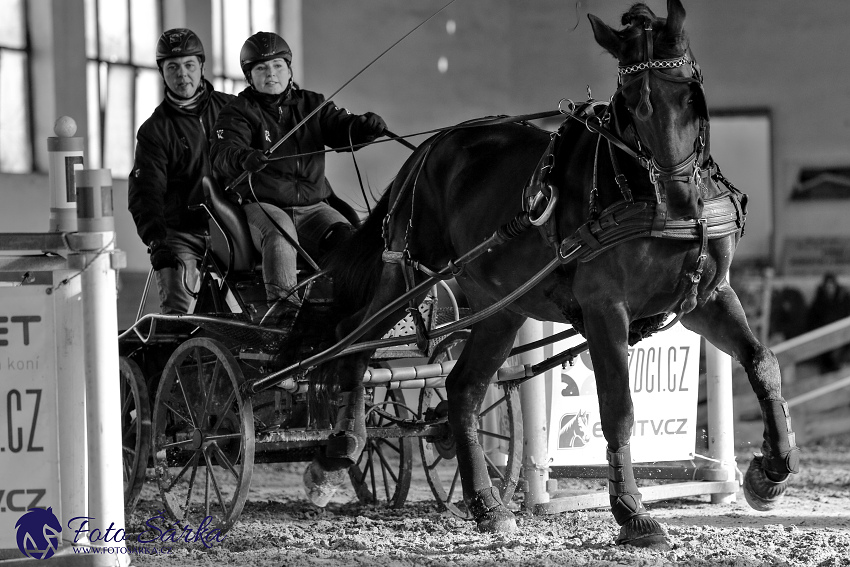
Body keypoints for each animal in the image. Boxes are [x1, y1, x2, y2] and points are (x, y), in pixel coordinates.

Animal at [302, 1, 800, 552]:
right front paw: (632, 513)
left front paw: (769, 473)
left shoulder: (708, 296)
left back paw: (487, 505)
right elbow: (618, 407)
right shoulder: (605, 308)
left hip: (500, 307)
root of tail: (429, 148)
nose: (675, 197)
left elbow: (762, 361)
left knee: (463, 388)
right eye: (631, 104)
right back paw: (342, 444)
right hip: (407, 272)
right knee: (354, 340)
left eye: (690, 93)